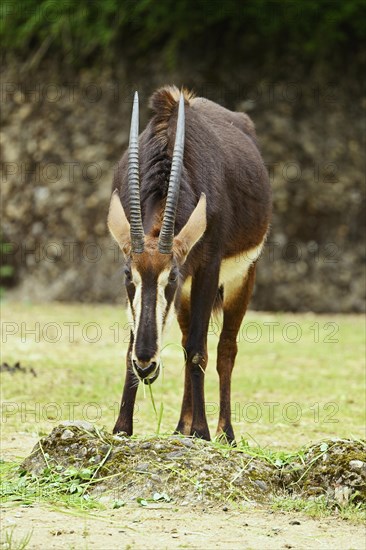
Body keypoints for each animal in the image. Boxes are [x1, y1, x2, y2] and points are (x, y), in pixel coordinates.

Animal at [107, 89, 270, 444]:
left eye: (172, 277)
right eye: (128, 275)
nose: (146, 365)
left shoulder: (207, 269)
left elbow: (199, 349)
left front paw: (203, 431)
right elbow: (133, 349)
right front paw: (122, 427)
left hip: (241, 277)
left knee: (224, 350)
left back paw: (225, 432)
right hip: (186, 299)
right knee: (185, 343)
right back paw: (181, 426)